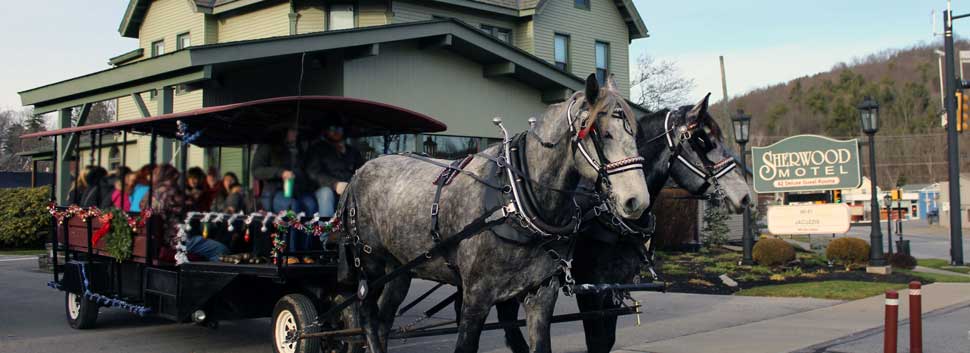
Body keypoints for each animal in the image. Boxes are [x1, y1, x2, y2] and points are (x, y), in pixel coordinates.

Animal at [340, 75, 652, 352]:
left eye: (635, 134)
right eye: (603, 134)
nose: (637, 201)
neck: (514, 201)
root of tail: (357, 173)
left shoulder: (541, 294)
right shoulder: (476, 296)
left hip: (399, 270)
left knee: (383, 321)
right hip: (369, 265)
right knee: (367, 317)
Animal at [496, 93, 752, 352]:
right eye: (702, 140)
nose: (745, 196)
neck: (609, 215)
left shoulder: (616, 286)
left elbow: (607, 340)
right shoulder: (590, 289)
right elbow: (596, 340)